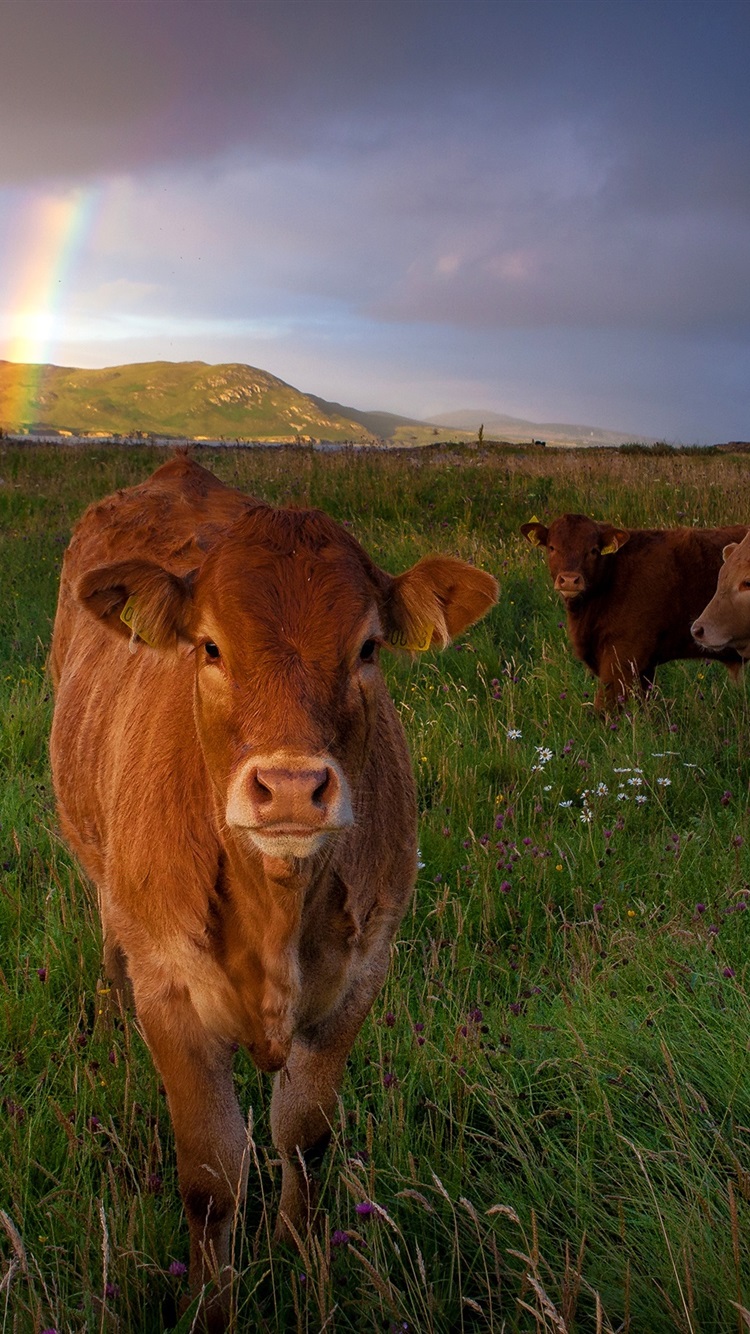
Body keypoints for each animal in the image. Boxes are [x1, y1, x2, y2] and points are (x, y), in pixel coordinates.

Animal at [51, 458, 496, 1334]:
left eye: (368, 648)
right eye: (210, 646)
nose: (291, 787)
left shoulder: (360, 976)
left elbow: (304, 1134)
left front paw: (299, 1255)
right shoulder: (172, 993)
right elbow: (211, 1176)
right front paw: (211, 1303)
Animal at [517, 514, 741, 715]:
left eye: (593, 550)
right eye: (552, 547)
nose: (570, 580)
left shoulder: (623, 654)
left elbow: (605, 708)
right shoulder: (643, 667)